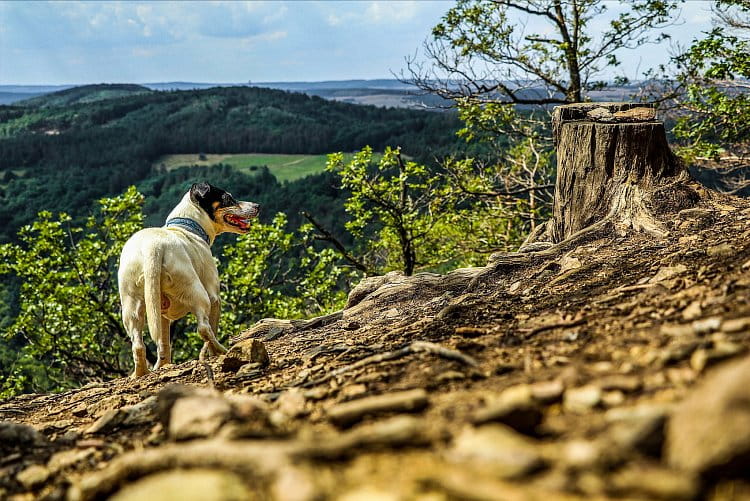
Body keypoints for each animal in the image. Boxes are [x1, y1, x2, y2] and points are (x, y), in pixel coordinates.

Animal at [117, 182, 258, 376]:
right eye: (228, 198)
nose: (257, 206)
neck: (188, 227)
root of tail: (152, 246)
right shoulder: (215, 297)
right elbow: (212, 326)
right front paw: (213, 354)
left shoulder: (162, 315)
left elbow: (164, 343)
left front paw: (162, 365)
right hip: (197, 292)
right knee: (204, 328)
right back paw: (221, 350)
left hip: (132, 306)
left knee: (138, 344)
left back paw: (141, 373)